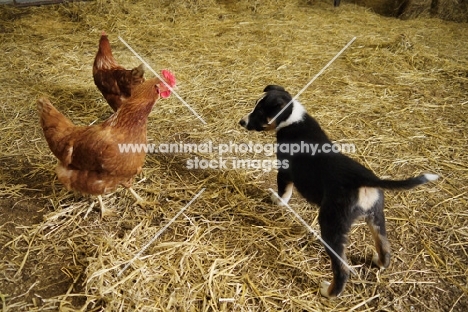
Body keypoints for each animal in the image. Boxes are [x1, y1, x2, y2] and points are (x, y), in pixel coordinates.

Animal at [238, 84, 438, 298]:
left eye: (260, 112)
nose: (242, 122)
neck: (292, 118)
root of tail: (365, 180)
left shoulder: (284, 171)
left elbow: (284, 192)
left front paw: (277, 200)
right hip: (376, 217)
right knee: (385, 247)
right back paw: (379, 262)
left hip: (332, 225)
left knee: (342, 268)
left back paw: (329, 292)